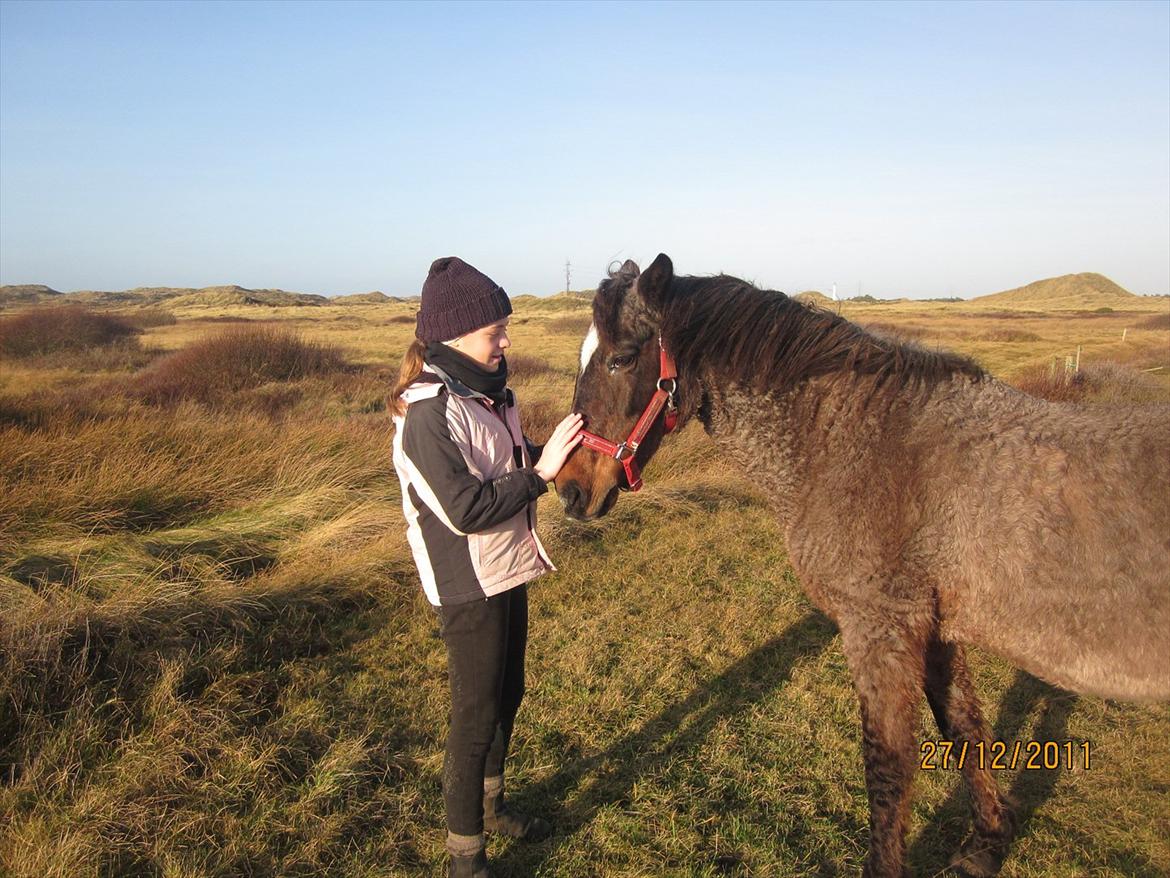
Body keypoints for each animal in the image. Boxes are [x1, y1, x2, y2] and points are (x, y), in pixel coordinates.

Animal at [549, 254, 1170, 878]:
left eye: (621, 358)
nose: (570, 489)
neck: (857, 440)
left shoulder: (881, 630)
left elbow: (888, 767)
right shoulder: (935, 631)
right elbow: (964, 726)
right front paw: (988, 840)